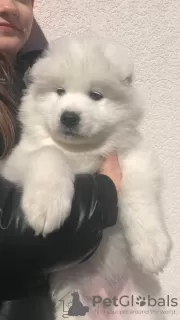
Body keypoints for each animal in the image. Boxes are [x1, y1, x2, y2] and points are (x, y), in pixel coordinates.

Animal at [2, 36, 172, 318]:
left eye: (95, 95)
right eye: (59, 91)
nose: (69, 117)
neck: (82, 151)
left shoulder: (135, 158)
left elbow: (140, 197)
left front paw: (152, 249)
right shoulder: (17, 162)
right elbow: (49, 152)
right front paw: (46, 208)